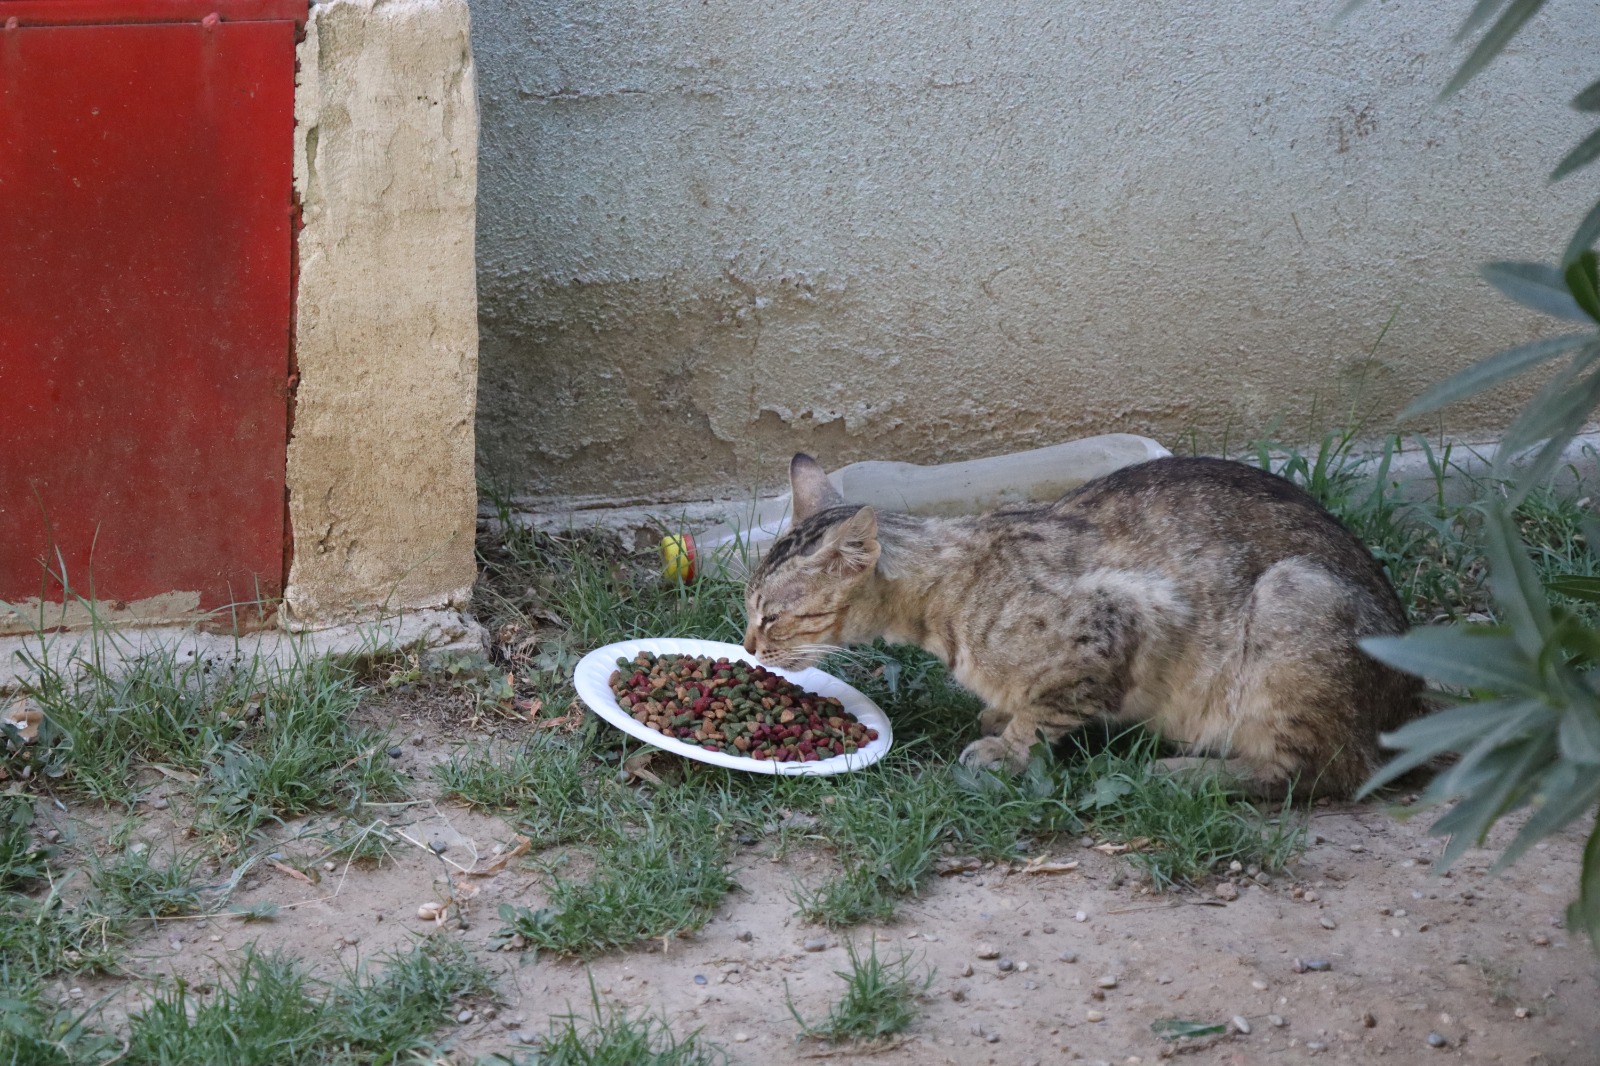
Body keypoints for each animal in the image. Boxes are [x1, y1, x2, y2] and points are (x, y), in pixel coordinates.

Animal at [742, 451, 1433, 793]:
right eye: (748, 611)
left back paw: (1188, 773)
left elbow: (1047, 712)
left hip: (1294, 598)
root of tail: (1413, 706)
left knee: (1325, 772)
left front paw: (1005, 747)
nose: (749, 648)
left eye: (772, 618)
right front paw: (998, 715)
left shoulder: (1119, 619)